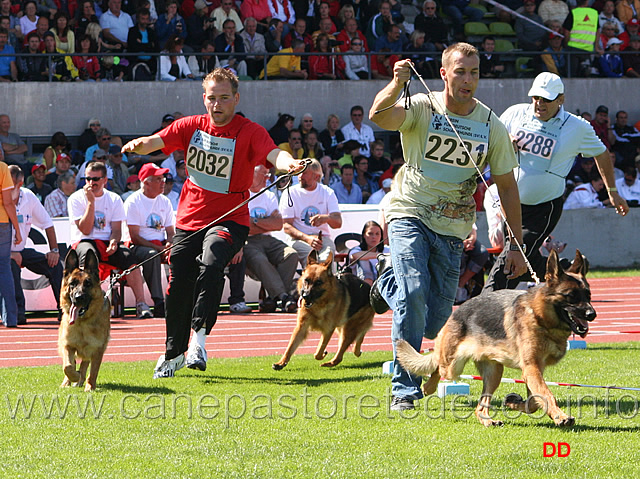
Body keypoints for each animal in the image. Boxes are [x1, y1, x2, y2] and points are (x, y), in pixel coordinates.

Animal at [58, 249, 110, 392]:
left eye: (88, 283)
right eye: (72, 284)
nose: (78, 297)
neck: (82, 323)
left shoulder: (97, 349)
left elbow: (93, 372)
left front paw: (90, 386)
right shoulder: (68, 345)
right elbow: (67, 366)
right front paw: (73, 377)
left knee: (85, 364)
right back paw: (68, 382)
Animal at [396, 251, 596, 428]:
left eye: (588, 295)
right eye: (571, 296)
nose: (592, 314)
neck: (540, 317)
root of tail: (455, 313)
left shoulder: (533, 369)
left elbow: (534, 401)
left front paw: (514, 403)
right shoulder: (531, 368)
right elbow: (547, 394)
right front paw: (560, 416)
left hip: (494, 373)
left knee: (479, 407)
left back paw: (488, 420)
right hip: (453, 366)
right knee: (438, 366)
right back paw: (428, 387)